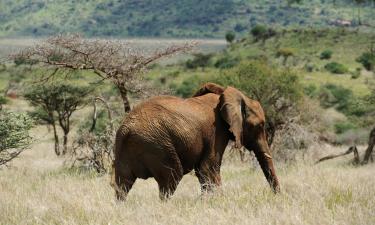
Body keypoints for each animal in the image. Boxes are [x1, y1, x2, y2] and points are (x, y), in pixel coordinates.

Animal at [113, 82, 280, 200]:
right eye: (260, 125)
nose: (277, 196)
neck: (224, 93)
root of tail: (126, 128)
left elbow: (203, 170)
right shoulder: (217, 131)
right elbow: (208, 168)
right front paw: (218, 202)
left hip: (125, 147)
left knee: (123, 184)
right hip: (157, 145)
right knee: (171, 179)